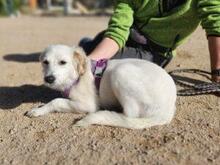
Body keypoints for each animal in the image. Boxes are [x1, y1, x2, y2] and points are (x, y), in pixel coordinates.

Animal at [25, 44, 177, 130]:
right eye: (45, 62)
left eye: (63, 62)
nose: (49, 79)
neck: (78, 76)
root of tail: (166, 112)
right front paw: (38, 110)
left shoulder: (87, 105)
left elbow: (56, 101)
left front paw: (39, 110)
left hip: (120, 71)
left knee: (129, 115)